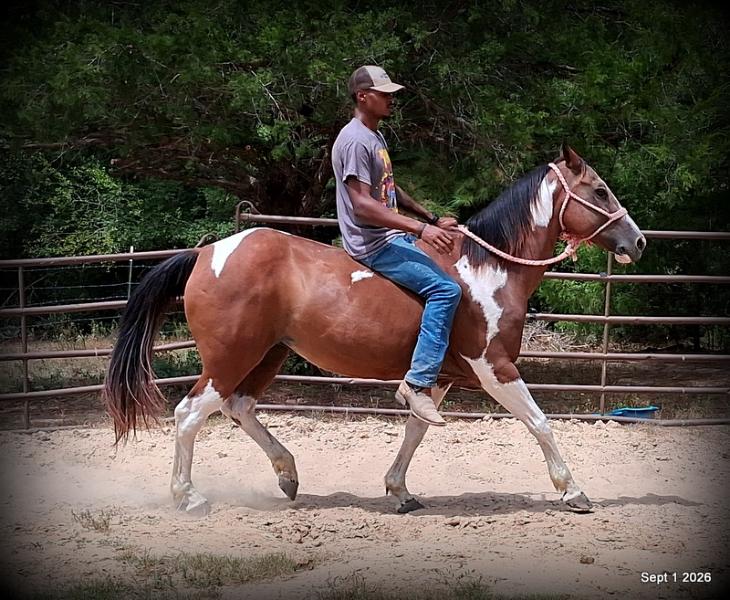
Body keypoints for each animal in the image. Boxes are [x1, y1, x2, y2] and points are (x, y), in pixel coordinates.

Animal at [104, 144, 645, 516]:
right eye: (600, 191)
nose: (638, 241)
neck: (488, 269)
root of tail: (206, 254)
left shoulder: (438, 376)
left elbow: (415, 429)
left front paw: (400, 491)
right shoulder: (494, 366)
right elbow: (540, 422)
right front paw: (573, 491)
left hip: (268, 354)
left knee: (240, 408)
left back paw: (288, 474)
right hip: (230, 357)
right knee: (190, 414)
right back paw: (190, 498)